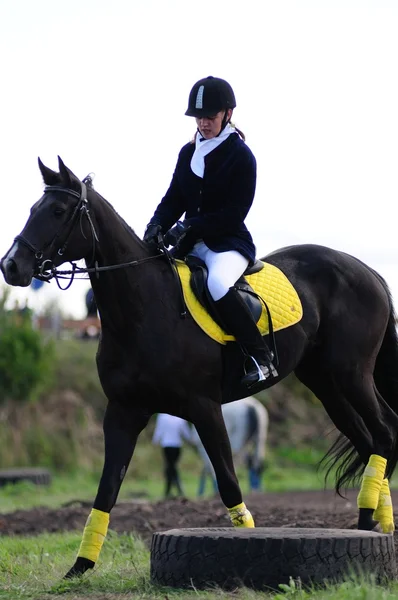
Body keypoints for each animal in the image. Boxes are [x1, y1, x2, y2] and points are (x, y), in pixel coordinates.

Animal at [0, 157, 398, 580]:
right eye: (33, 209)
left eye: (59, 211)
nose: (11, 266)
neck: (143, 310)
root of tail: (367, 270)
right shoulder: (123, 412)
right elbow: (107, 490)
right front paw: (80, 566)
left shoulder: (205, 408)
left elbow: (228, 483)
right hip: (327, 384)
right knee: (370, 441)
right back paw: (372, 525)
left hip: (351, 374)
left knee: (384, 431)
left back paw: (372, 524)